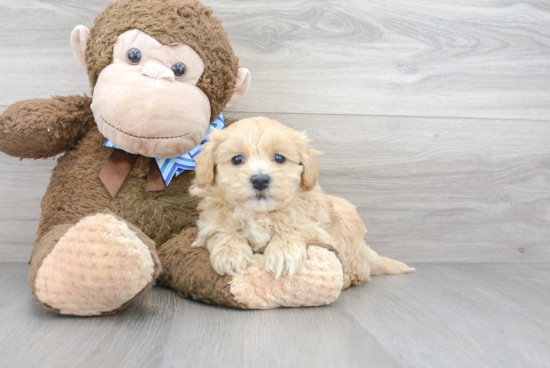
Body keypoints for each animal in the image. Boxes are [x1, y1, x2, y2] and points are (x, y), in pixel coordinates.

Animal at [192, 116, 412, 286]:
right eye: (237, 159)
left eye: (279, 158)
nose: (260, 180)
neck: (260, 214)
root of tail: (365, 251)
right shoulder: (209, 224)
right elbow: (222, 232)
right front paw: (230, 254)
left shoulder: (319, 231)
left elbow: (293, 228)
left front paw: (282, 254)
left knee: (357, 270)